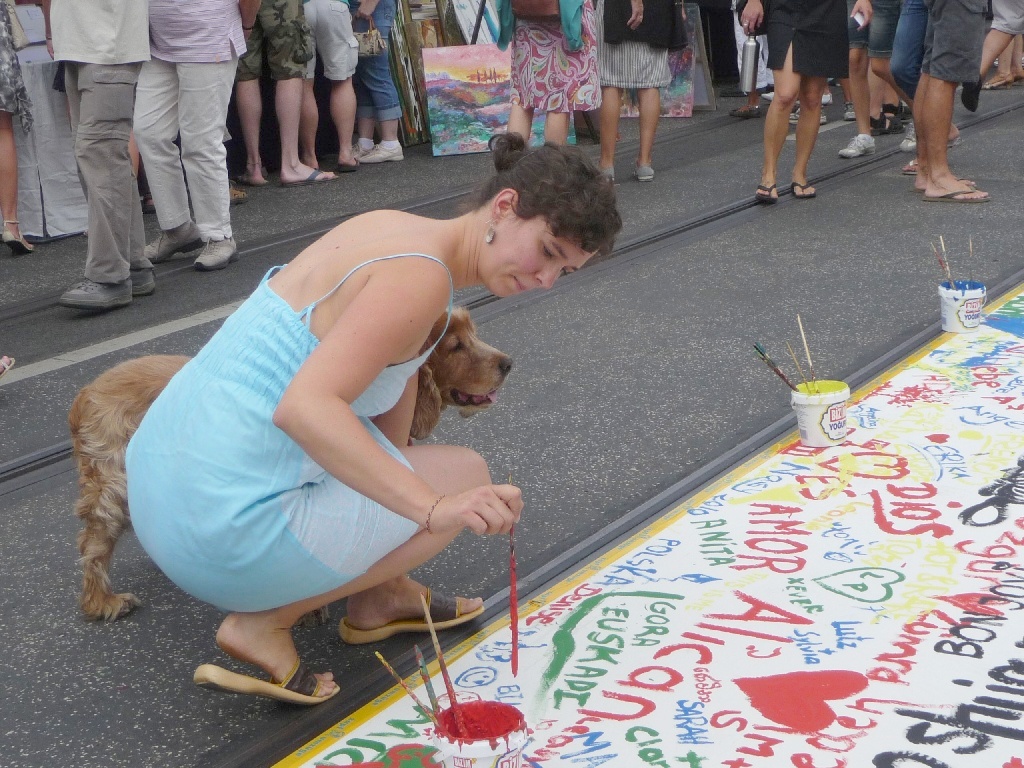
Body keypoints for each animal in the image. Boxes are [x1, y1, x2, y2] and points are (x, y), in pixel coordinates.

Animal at [70, 307, 512, 621]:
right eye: (455, 346)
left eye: (473, 334)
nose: (507, 363)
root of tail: (87, 391)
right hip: (113, 487)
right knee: (92, 547)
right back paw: (103, 602)